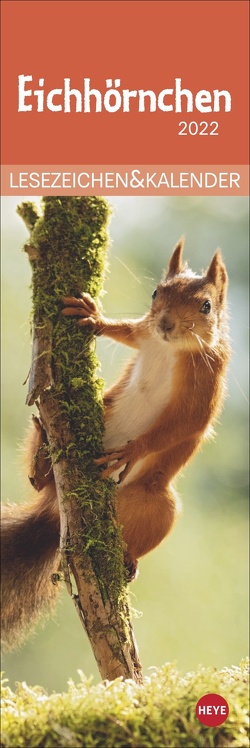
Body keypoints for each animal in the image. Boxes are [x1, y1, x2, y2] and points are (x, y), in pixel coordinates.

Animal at [0, 241, 230, 648]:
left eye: (206, 306)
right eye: (156, 294)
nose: (166, 324)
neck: (171, 347)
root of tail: (55, 515)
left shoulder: (207, 382)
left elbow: (185, 424)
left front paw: (131, 450)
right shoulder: (145, 335)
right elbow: (128, 331)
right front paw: (94, 317)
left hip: (157, 503)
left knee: (140, 535)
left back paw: (128, 560)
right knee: (40, 472)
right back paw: (42, 462)